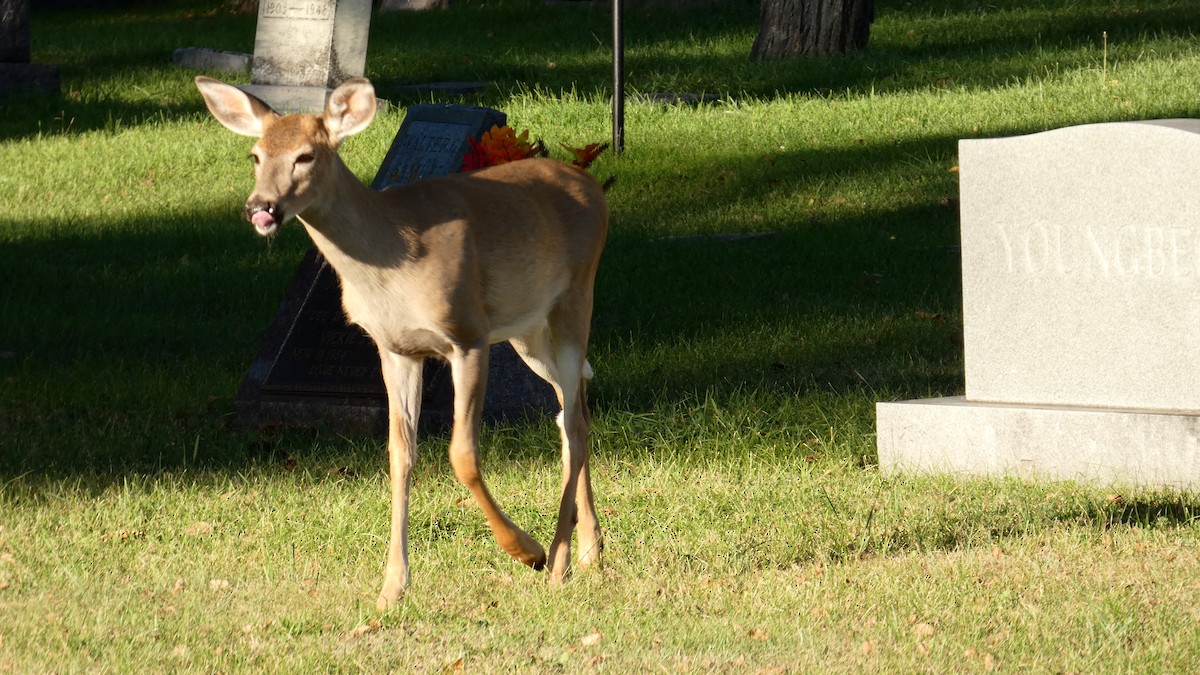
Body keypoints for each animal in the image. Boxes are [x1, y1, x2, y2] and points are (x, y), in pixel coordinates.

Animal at [194, 76, 608, 609]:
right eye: (255, 154)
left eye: (306, 156)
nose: (259, 208)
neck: (392, 261)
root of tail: (593, 187)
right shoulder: (394, 349)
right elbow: (399, 454)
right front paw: (392, 586)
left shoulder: (467, 334)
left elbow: (462, 455)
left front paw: (525, 550)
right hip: (528, 330)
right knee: (573, 410)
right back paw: (590, 547)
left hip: (576, 296)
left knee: (573, 421)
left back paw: (558, 561)